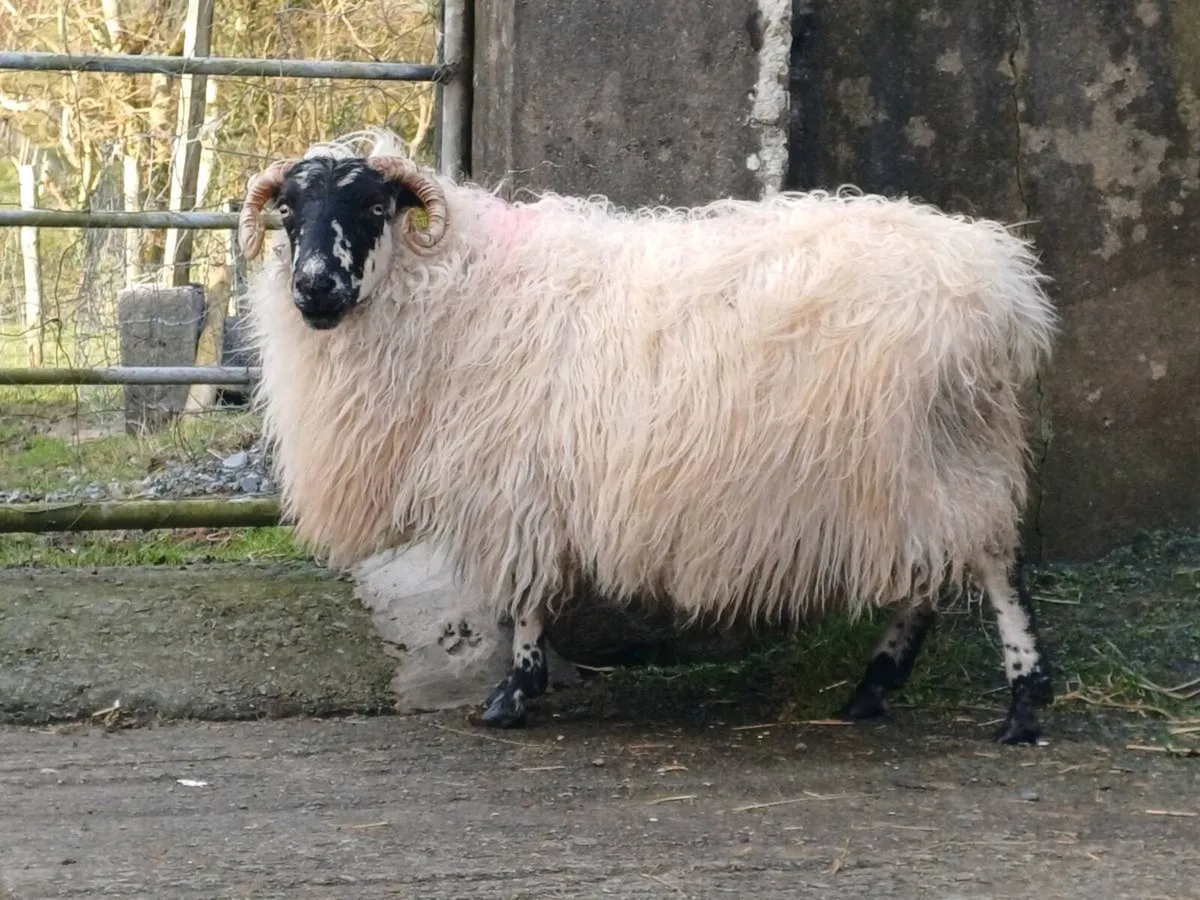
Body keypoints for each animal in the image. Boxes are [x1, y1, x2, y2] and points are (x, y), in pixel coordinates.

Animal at [238, 129, 1059, 745]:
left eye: (375, 203)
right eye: (289, 211)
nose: (314, 287)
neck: (452, 288)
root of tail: (1001, 288)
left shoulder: (517, 482)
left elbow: (525, 596)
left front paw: (514, 695)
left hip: (938, 450)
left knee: (994, 567)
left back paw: (1022, 705)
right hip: (922, 460)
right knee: (930, 577)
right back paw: (873, 688)